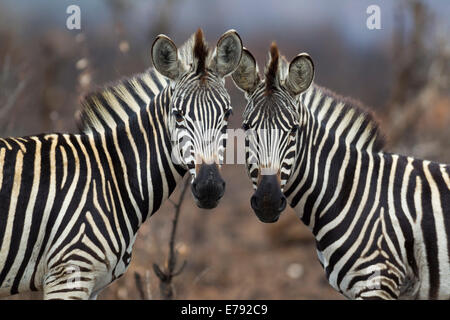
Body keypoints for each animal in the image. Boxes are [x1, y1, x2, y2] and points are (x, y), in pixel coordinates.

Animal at [0, 29, 243, 300]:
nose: (209, 187)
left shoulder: (92, 284)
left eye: (228, 113)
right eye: (178, 114)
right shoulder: (69, 275)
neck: (112, 178)